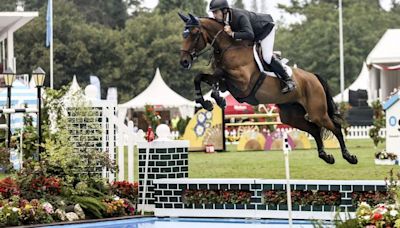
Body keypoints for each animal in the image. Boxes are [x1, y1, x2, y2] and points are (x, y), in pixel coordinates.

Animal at [178, 13, 356, 165]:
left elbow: (219, 75)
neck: (229, 48)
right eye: (184, 34)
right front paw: (208, 102)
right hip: (291, 116)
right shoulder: (227, 82)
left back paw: (349, 157)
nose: (184, 62)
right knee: (314, 129)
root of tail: (313, 76)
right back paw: (326, 156)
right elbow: (200, 77)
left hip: (317, 112)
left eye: (194, 33)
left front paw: (217, 99)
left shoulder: (242, 83)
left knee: (335, 128)